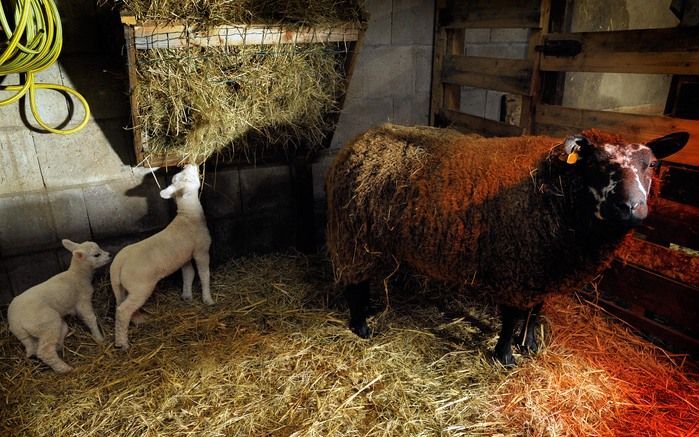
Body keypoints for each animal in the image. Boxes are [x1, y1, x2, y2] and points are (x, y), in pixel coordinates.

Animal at [7, 240, 110, 372]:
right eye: (97, 255)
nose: (109, 255)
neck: (78, 274)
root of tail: (15, 322)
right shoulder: (83, 300)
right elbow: (90, 318)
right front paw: (99, 338)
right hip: (47, 323)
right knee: (45, 351)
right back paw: (64, 368)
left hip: (27, 336)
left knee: (34, 348)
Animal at [109, 162, 212, 350]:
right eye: (186, 178)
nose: (190, 163)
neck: (188, 215)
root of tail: (118, 263)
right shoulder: (201, 251)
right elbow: (203, 274)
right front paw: (208, 299)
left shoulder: (184, 257)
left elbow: (188, 274)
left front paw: (187, 296)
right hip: (140, 287)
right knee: (122, 311)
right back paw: (122, 342)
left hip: (121, 287)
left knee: (120, 304)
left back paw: (139, 320)